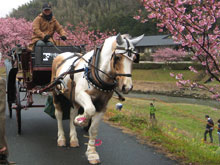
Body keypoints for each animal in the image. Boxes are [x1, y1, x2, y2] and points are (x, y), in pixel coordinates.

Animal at [50, 33, 144, 164]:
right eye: (118, 57)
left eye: (134, 58)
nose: (127, 87)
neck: (96, 74)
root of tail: (60, 55)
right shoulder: (80, 94)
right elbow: (90, 110)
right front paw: (81, 120)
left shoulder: (102, 105)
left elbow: (93, 129)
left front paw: (92, 153)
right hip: (57, 93)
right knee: (59, 114)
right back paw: (61, 138)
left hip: (72, 97)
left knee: (72, 113)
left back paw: (73, 138)